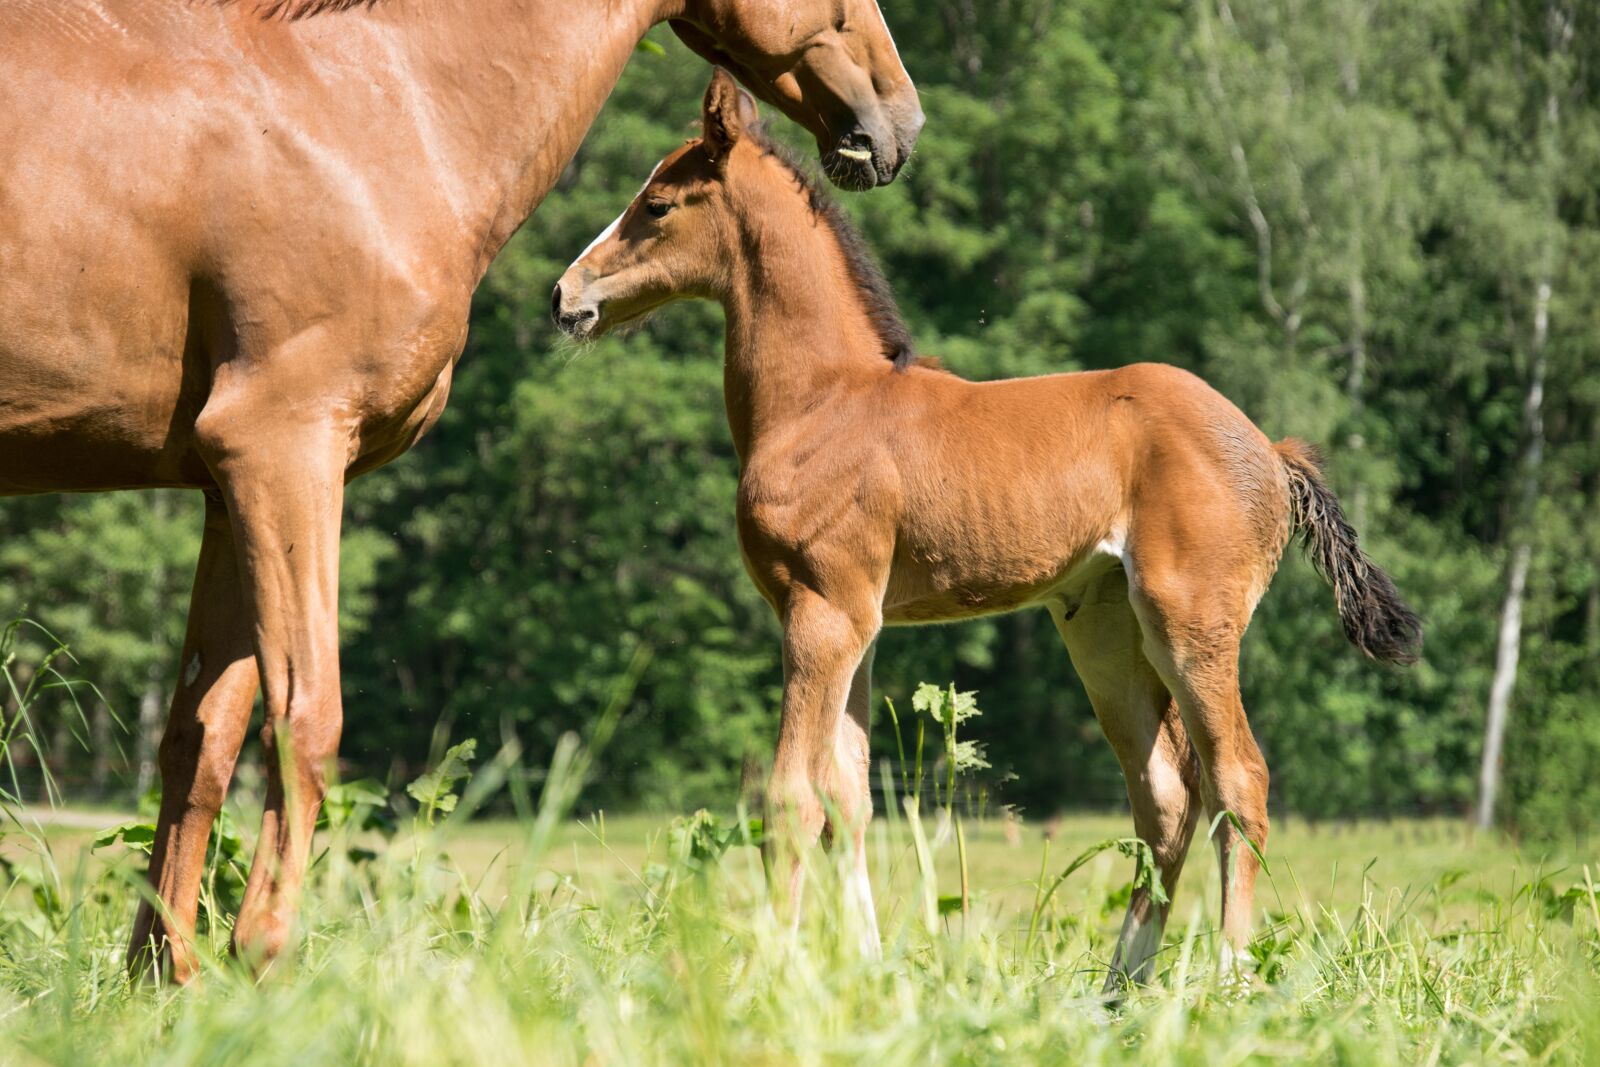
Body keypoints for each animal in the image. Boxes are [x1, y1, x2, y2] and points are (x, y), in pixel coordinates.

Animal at [0, 0, 921, 981]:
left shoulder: (225, 484)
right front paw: (262, 956)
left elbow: (199, 738)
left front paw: (162, 979)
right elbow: (306, 716)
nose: (900, 123)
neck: (371, 106)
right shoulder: (282, 448)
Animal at [553, 71, 1421, 988]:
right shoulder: (859, 622)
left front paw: (773, 970)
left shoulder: (822, 611)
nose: (564, 296)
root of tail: (1271, 451)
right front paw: (867, 970)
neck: (824, 401)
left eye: (655, 203)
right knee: (1167, 794)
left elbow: (790, 796)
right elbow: (848, 797)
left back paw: (1222, 977)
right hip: (1105, 633)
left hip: (1191, 624)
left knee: (1238, 781)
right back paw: (1118, 987)